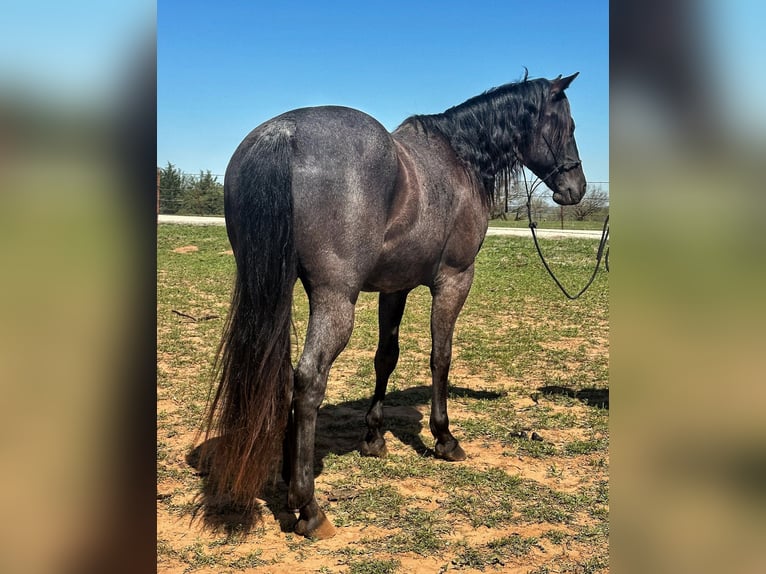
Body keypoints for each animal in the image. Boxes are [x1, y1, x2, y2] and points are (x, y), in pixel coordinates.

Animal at [202, 71, 588, 540]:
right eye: (569, 127)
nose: (576, 189)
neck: (459, 159)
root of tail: (284, 133)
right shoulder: (454, 280)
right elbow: (441, 356)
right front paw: (445, 439)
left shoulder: (394, 288)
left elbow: (385, 357)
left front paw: (374, 437)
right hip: (335, 300)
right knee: (309, 379)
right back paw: (308, 506)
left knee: (286, 374)